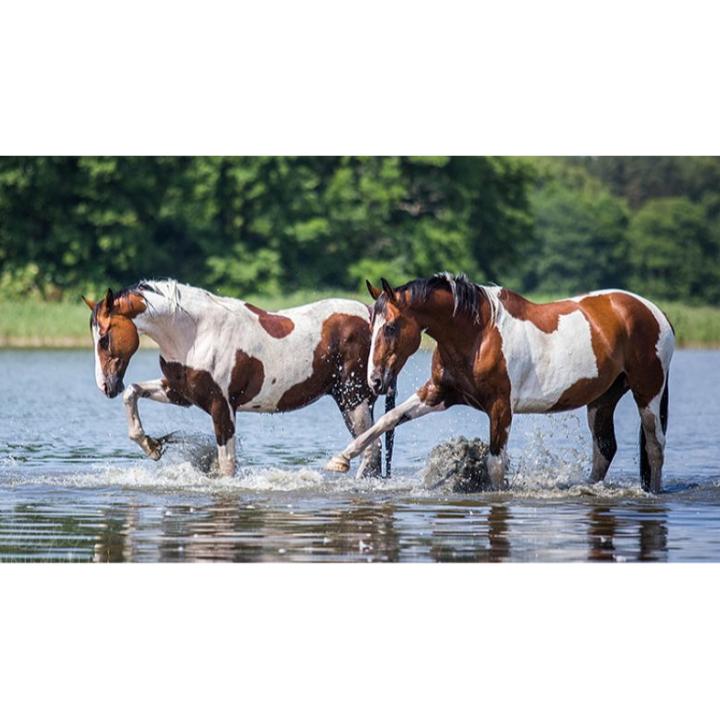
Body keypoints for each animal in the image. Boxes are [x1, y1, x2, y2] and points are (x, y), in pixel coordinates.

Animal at [83, 280, 396, 477]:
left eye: (104, 339)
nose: (106, 386)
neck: (194, 333)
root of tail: (370, 314)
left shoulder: (222, 407)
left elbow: (227, 466)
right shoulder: (180, 393)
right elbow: (132, 393)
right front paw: (151, 446)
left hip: (353, 400)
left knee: (371, 449)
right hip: (353, 401)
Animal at [325, 273, 675, 493]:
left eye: (391, 327)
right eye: (372, 325)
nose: (375, 379)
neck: (478, 335)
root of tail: (655, 312)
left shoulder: (500, 408)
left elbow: (496, 463)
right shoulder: (437, 394)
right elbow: (386, 420)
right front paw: (340, 459)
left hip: (648, 391)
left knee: (655, 446)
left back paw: (653, 492)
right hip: (602, 399)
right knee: (604, 448)